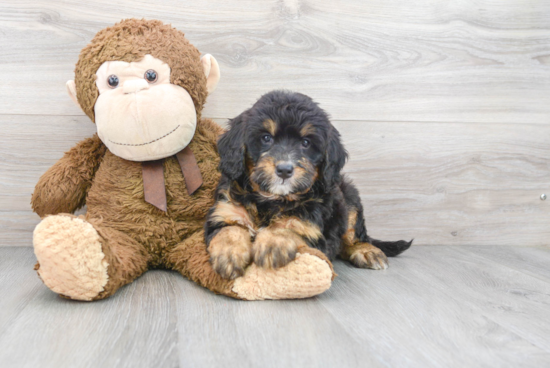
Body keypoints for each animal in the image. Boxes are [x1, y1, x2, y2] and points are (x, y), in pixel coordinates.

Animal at [205, 90, 412, 278]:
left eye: (305, 143)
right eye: (266, 138)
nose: (284, 170)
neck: (271, 200)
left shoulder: (314, 228)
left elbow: (292, 225)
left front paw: (273, 243)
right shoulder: (225, 210)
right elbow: (229, 230)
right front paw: (229, 254)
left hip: (350, 200)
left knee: (353, 237)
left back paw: (368, 251)